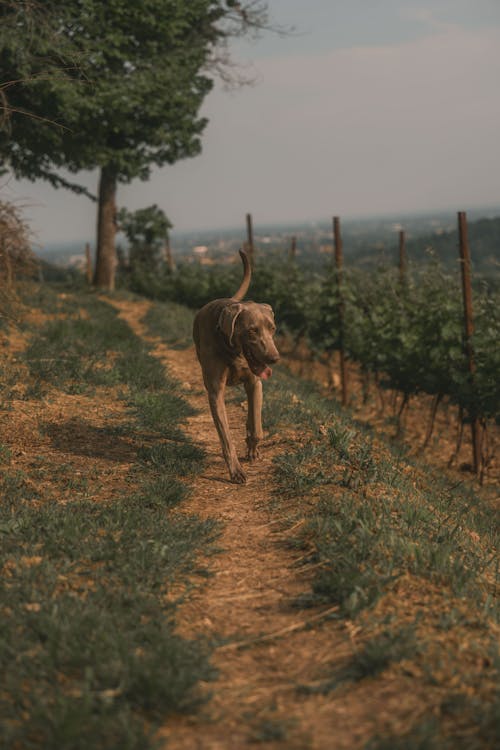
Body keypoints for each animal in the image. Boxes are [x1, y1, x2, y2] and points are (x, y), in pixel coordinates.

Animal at [192, 251, 280, 488]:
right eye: (252, 331)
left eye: (273, 328)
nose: (274, 358)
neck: (233, 351)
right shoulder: (215, 393)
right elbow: (226, 437)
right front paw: (236, 471)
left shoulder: (255, 383)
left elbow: (257, 428)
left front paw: (252, 449)